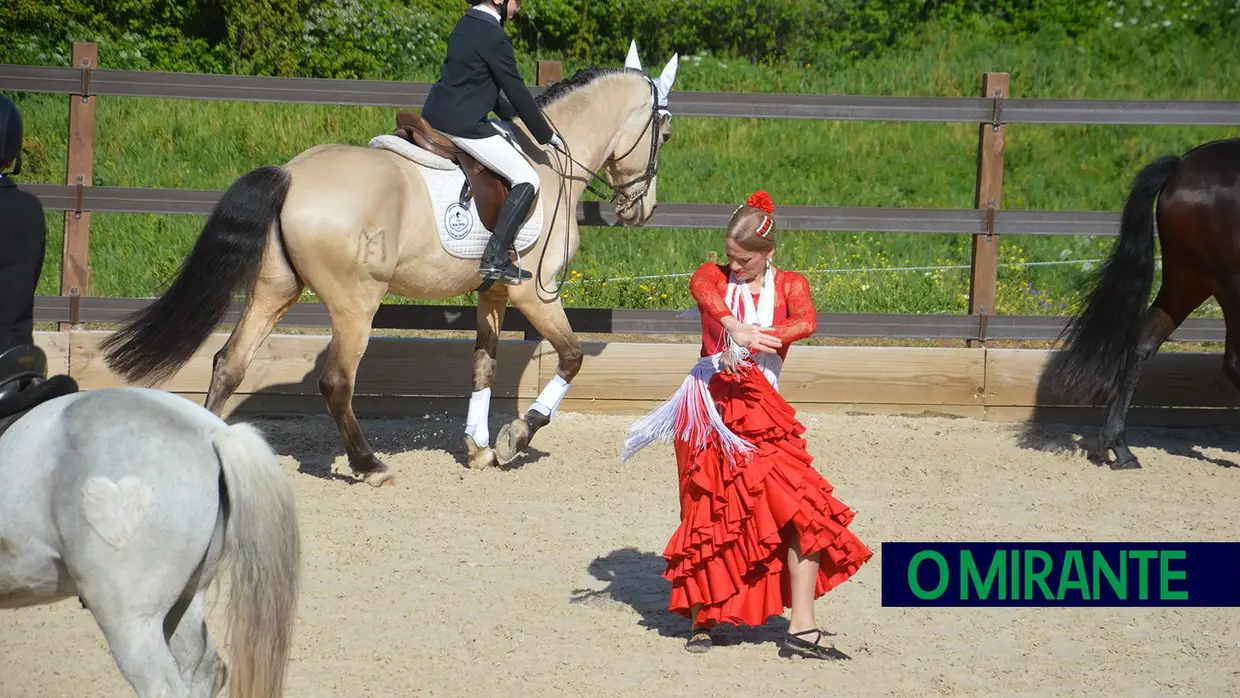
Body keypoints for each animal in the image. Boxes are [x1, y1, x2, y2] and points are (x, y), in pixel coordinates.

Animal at [99, 43, 679, 485]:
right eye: (666, 135)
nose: (642, 210)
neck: (551, 163)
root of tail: (291, 172)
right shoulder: (534, 292)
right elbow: (573, 358)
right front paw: (514, 439)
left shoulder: (493, 292)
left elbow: (483, 365)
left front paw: (478, 448)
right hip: (355, 303)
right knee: (336, 381)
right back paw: (369, 465)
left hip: (275, 288)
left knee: (229, 362)